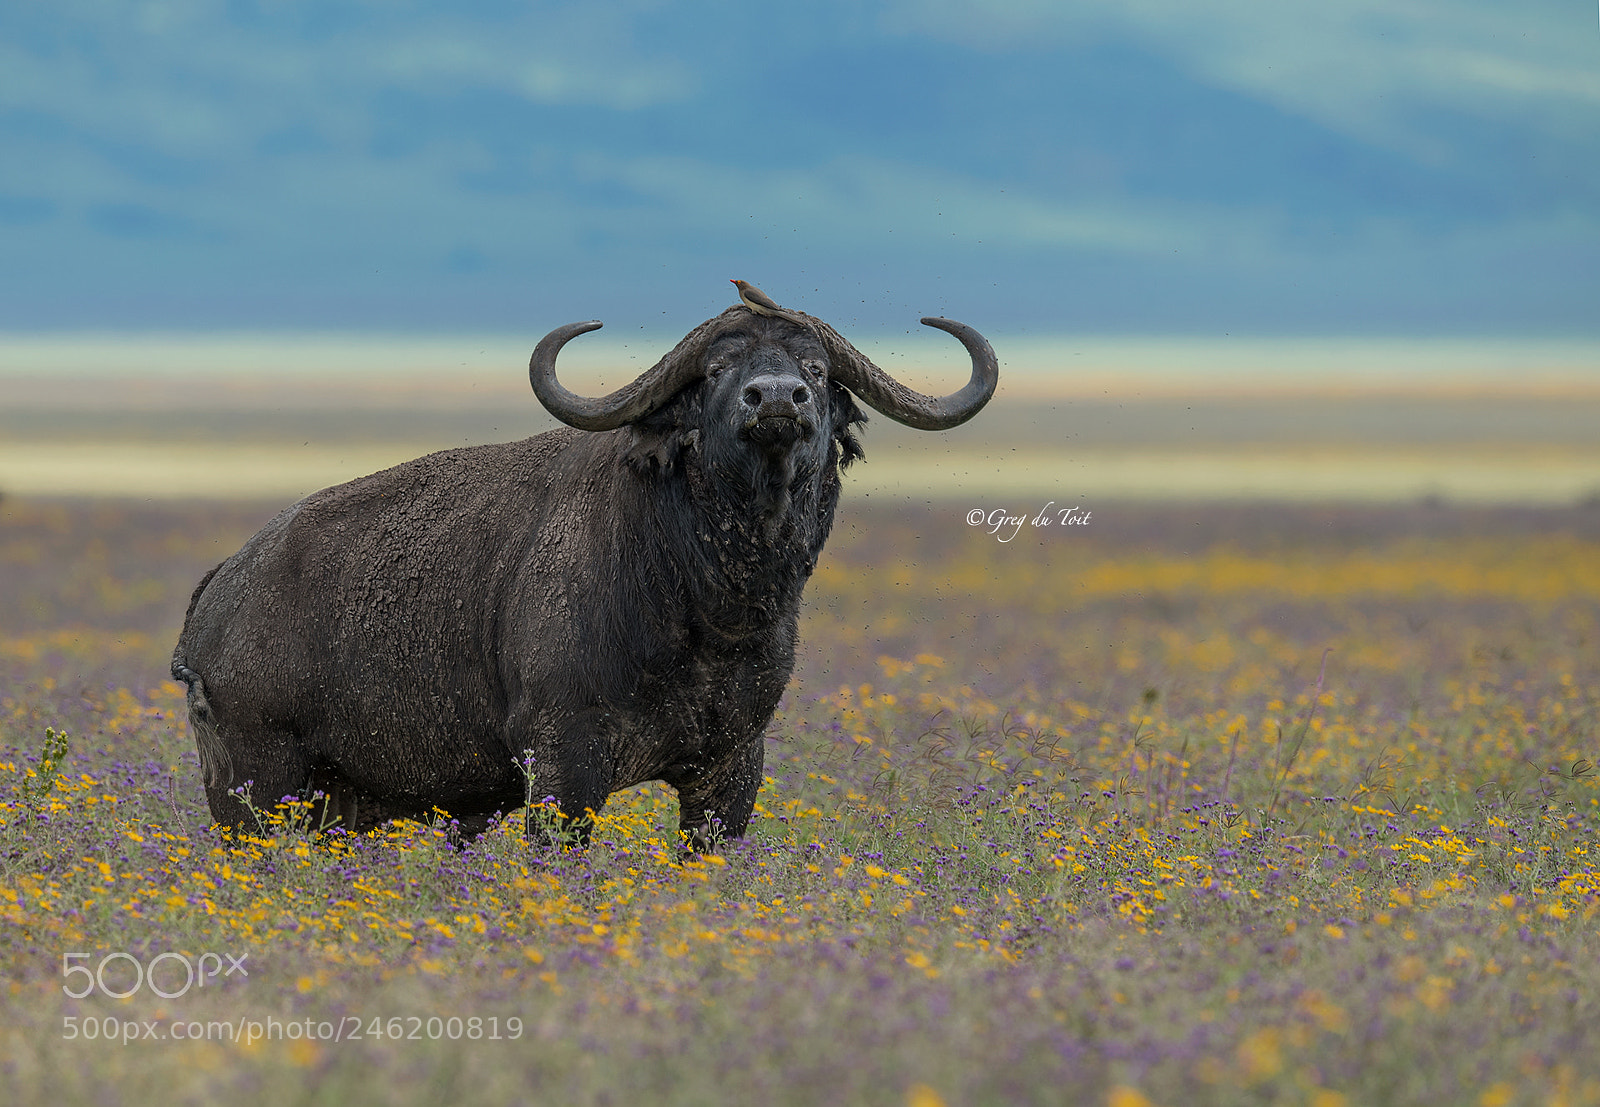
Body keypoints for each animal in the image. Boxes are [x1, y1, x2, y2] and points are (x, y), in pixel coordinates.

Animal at [171, 301, 997, 847]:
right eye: (717, 369)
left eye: (817, 369)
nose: (775, 399)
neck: (703, 605)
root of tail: (216, 596)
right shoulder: (564, 763)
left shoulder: (732, 769)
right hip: (257, 790)